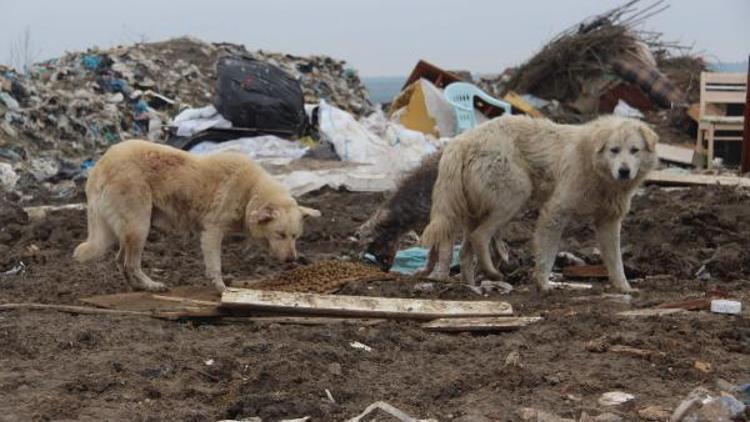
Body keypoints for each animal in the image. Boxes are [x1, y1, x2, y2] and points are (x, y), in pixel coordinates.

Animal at [420, 115, 660, 294]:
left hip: (478, 210)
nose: (624, 171)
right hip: (515, 195)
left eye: (634, 150)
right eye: (614, 150)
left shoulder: (608, 221)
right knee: (480, 236)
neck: (592, 162)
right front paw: (543, 284)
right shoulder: (555, 211)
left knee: (466, 250)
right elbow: (548, 253)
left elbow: (616, 260)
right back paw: (492, 273)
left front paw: (624, 287)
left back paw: (472, 287)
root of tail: (463, 140)